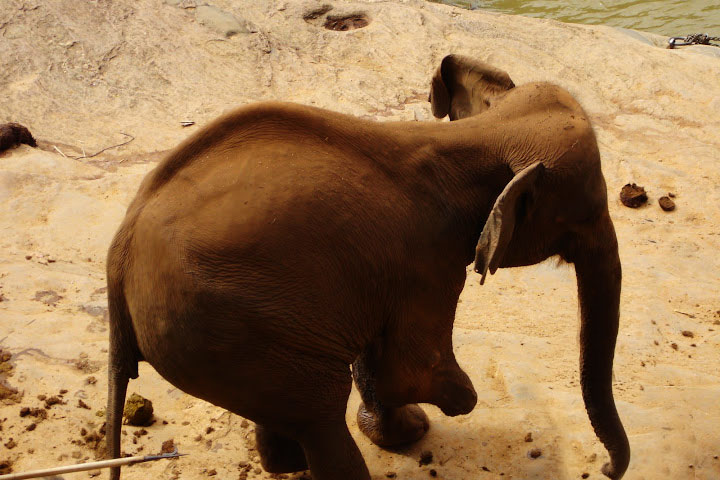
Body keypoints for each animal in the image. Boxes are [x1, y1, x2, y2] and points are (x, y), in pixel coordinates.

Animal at [107, 53, 632, 480]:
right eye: (582, 217)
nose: (606, 469)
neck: (475, 134)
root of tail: (118, 262)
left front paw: (403, 431)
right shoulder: (430, 264)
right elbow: (411, 369)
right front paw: (436, 415)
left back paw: (285, 464)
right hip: (227, 329)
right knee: (318, 410)